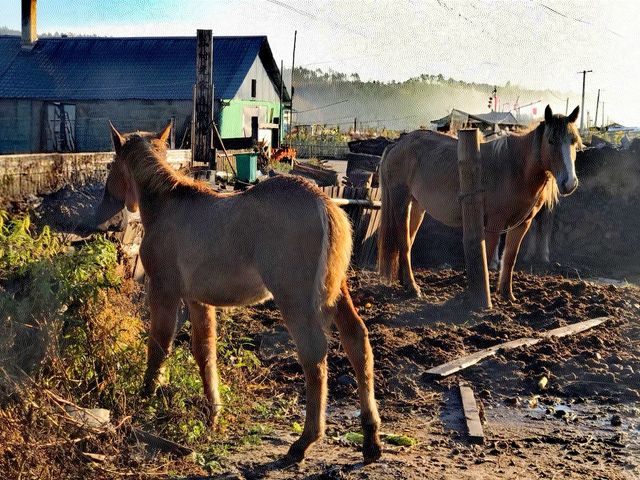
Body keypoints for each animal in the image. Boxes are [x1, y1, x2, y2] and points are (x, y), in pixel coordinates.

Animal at [97, 122, 382, 464]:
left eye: (112, 164)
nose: (107, 201)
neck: (167, 203)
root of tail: (324, 203)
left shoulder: (164, 291)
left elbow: (159, 344)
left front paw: (147, 396)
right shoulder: (197, 300)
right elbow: (204, 352)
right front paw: (213, 413)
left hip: (296, 300)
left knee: (314, 356)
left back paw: (305, 441)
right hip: (336, 291)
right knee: (357, 342)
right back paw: (371, 438)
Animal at [378, 106, 584, 300]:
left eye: (574, 141)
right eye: (551, 141)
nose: (569, 183)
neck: (514, 168)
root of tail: (396, 145)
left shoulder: (521, 224)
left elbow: (510, 257)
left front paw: (507, 294)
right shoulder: (494, 223)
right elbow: (489, 253)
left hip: (417, 207)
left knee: (408, 242)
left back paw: (406, 282)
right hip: (401, 202)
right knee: (404, 242)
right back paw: (413, 288)